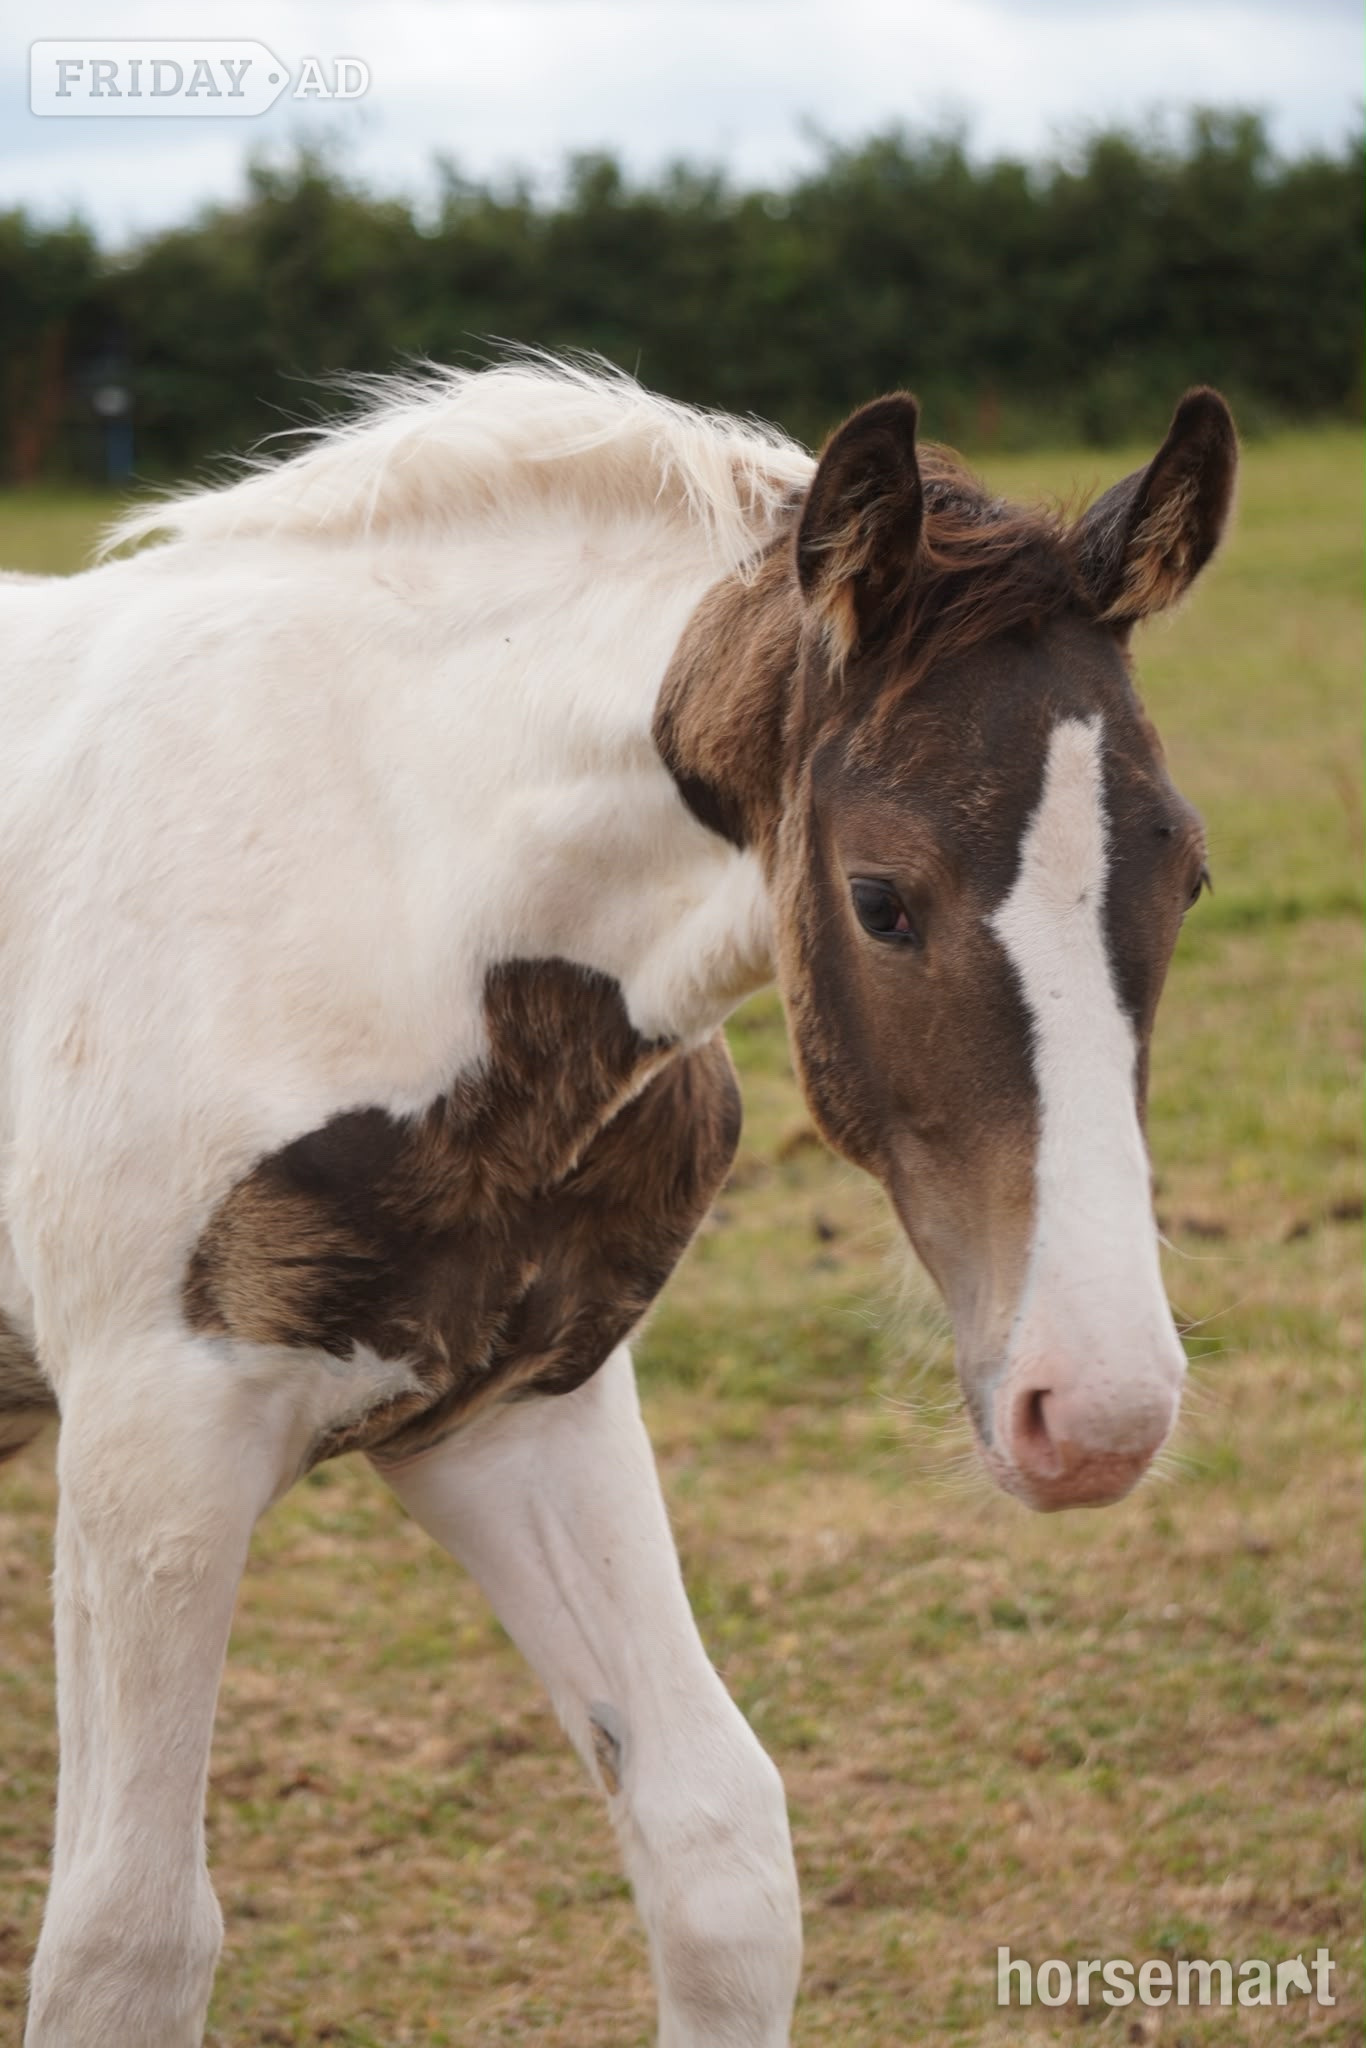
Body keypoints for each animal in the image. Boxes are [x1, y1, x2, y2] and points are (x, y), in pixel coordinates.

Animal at [0, 358, 1235, 2046]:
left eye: (1185, 877)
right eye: (879, 900)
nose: (1099, 1411)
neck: (372, 879)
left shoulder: (515, 1411)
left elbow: (717, 1848)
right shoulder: (152, 1437)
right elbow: (125, 1938)